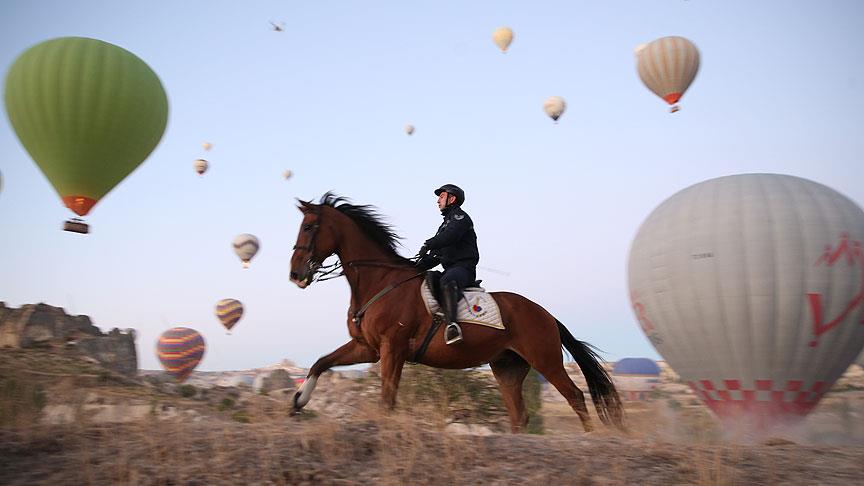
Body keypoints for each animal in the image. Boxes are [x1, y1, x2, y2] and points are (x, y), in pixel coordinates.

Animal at [288, 194, 620, 432]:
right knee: (519, 416)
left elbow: (387, 399)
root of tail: (546, 314)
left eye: (308, 227)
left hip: (545, 360)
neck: (379, 280)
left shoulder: (392, 348)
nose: (295, 274)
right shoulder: (368, 348)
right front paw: (298, 401)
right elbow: (321, 362)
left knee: (575, 397)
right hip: (507, 368)